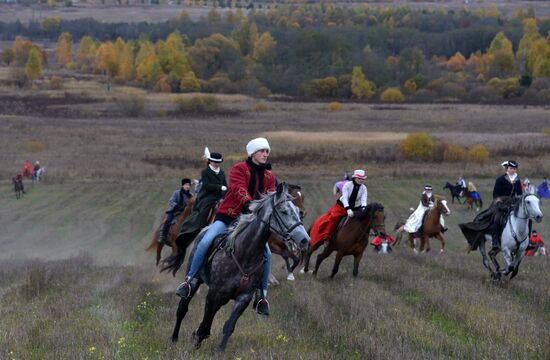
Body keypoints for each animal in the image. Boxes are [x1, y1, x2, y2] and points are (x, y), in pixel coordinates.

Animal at [164, 184, 310, 352]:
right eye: (284, 211)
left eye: (297, 212)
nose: (305, 239)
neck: (245, 252)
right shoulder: (214, 293)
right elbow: (206, 322)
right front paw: (197, 340)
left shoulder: (243, 298)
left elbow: (229, 326)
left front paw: (219, 351)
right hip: (195, 280)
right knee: (182, 308)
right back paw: (174, 338)